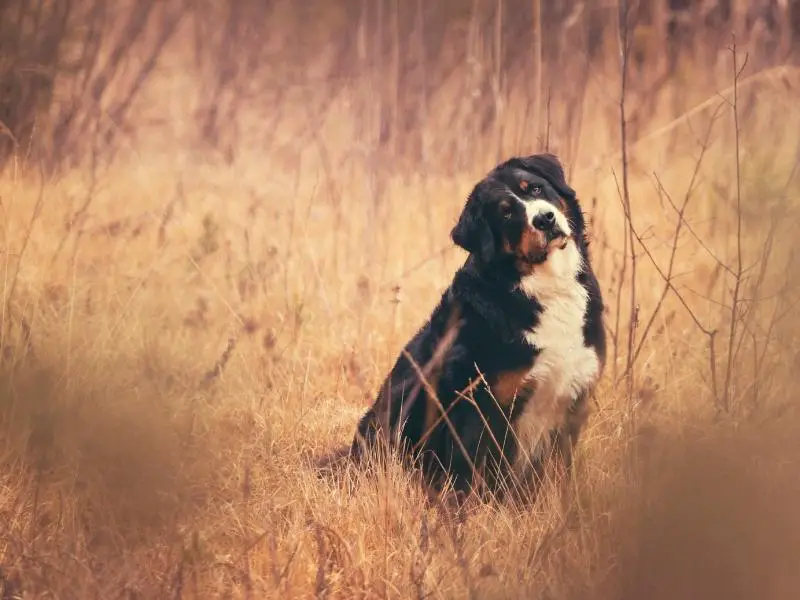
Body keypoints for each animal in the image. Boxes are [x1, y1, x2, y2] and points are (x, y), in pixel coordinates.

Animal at [346, 152, 604, 504]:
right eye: (506, 212)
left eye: (535, 188)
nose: (545, 219)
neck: (542, 287)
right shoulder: (480, 406)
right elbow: (472, 478)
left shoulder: (573, 396)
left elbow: (558, 476)